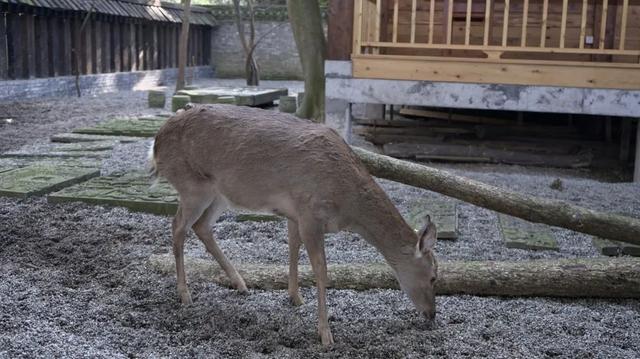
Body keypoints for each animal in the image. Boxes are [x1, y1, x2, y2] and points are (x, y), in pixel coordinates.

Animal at [150, 105, 440, 348]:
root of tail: (156, 144)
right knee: (177, 227)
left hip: (220, 193)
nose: (432, 314)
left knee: (201, 226)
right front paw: (326, 335)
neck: (347, 205)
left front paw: (295, 298)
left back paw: (240, 283)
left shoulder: (295, 214)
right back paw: (185, 295)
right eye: (434, 277)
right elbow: (321, 271)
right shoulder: (311, 213)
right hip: (192, 186)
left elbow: (292, 248)